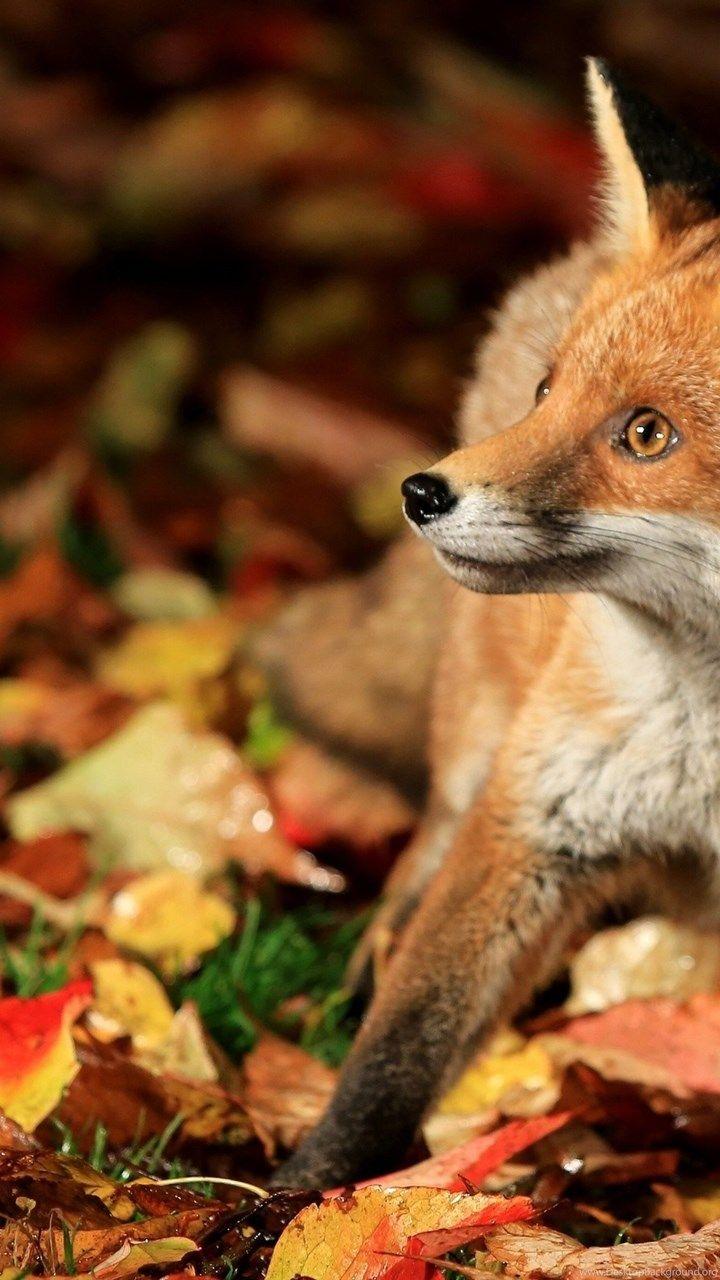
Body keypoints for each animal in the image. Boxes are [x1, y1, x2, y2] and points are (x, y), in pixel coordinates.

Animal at [267, 58, 720, 1189]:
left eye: (647, 434)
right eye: (548, 392)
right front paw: (296, 1200)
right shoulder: (530, 824)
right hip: (481, 742)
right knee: (418, 864)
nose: (421, 490)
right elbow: (398, 1052)